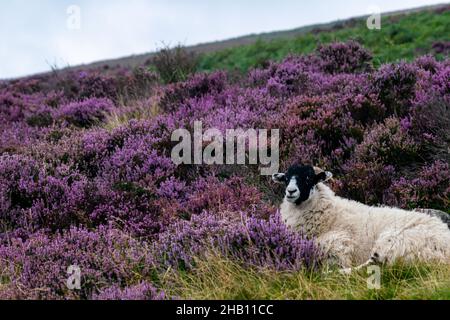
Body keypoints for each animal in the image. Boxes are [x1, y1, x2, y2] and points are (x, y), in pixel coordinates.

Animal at [270, 165, 450, 272]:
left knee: (375, 263)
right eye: (286, 178)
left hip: (395, 240)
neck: (329, 214)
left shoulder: (339, 244)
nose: (291, 191)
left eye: (308, 178)